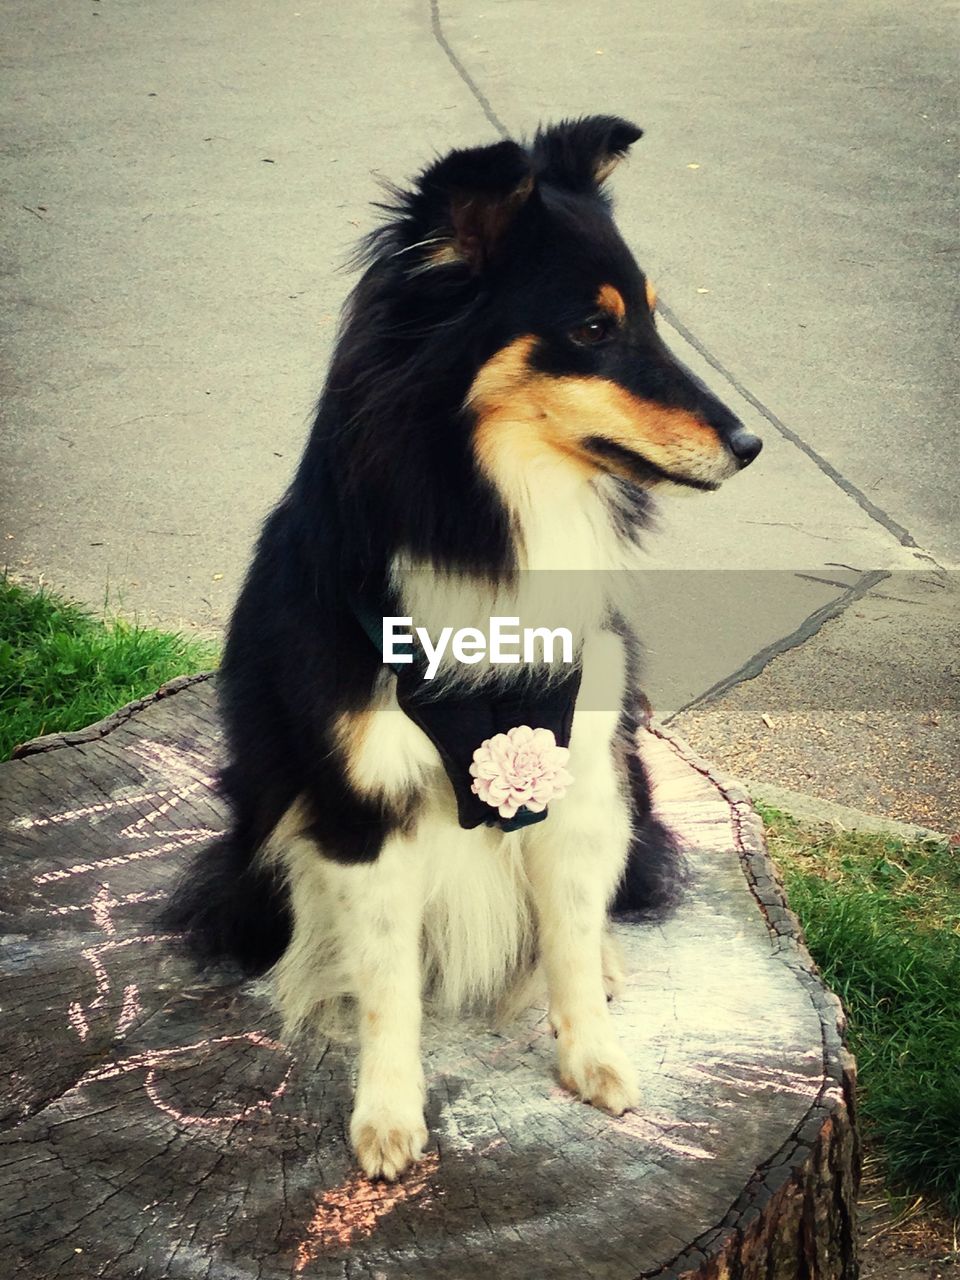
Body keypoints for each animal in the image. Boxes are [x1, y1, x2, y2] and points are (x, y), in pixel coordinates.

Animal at [167, 117, 768, 1177]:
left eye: (652, 319)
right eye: (593, 328)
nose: (749, 444)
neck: (497, 511)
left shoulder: (580, 779)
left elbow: (567, 933)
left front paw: (594, 1059)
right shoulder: (361, 805)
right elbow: (388, 983)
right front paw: (387, 1115)